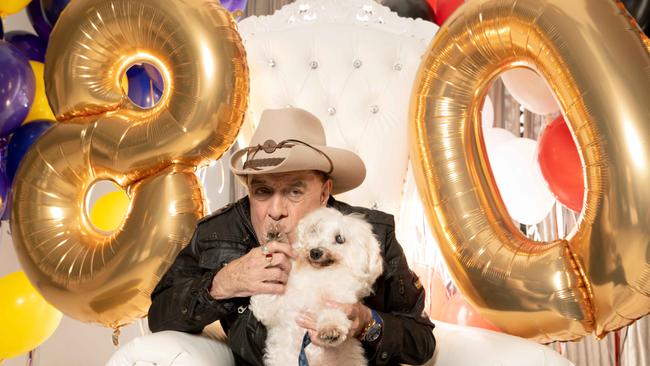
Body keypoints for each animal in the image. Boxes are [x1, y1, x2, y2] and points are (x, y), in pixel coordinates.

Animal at [247, 207, 380, 364]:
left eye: (339, 239)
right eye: (314, 231)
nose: (315, 251)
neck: (317, 278)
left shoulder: (341, 301)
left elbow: (333, 313)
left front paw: (330, 329)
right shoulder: (270, 309)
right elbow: (270, 290)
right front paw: (277, 240)